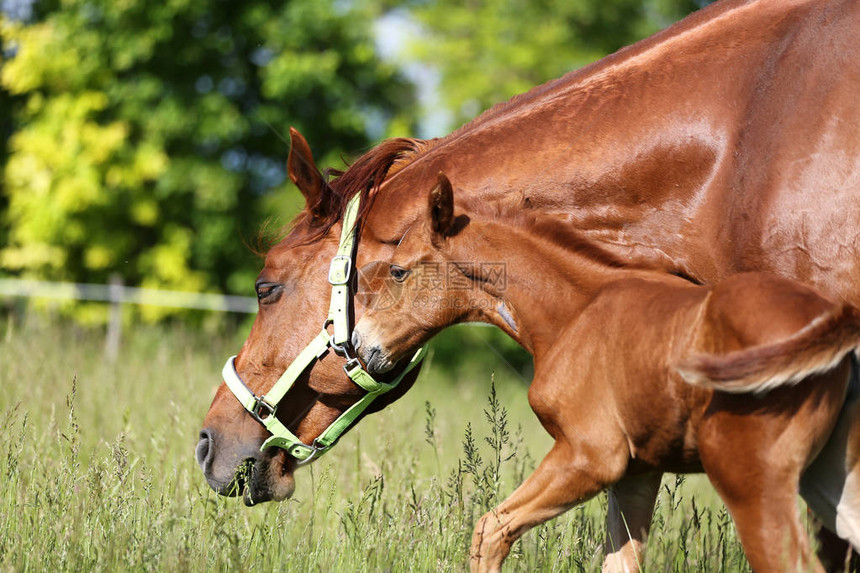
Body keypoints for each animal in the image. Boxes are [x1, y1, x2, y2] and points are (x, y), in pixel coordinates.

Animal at [352, 175, 860, 572]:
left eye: (398, 271)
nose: (359, 346)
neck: (576, 311)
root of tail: (834, 319)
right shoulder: (636, 473)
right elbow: (620, 562)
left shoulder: (591, 455)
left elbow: (489, 530)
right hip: (829, 480)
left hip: (750, 480)